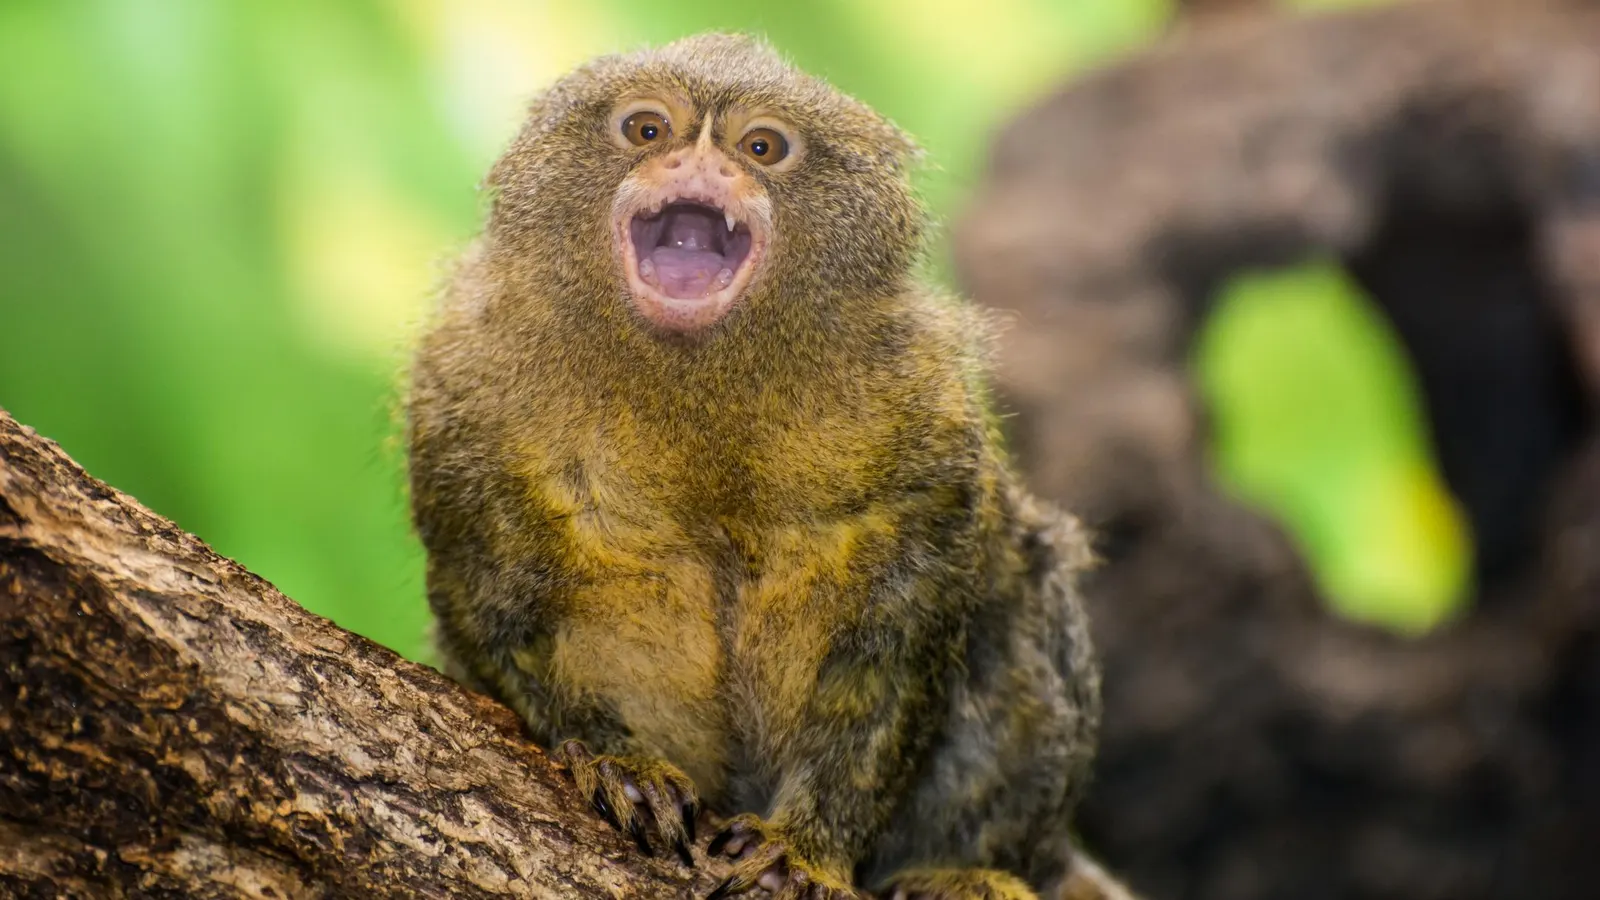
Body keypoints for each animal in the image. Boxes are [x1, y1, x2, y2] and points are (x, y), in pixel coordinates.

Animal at [407, 33, 1101, 900]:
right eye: (646, 130)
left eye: (763, 147)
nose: (700, 165)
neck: (695, 381)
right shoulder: (463, 390)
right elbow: (491, 612)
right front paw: (614, 757)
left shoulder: (924, 412)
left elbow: (893, 654)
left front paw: (805, 848)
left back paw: (974, 872)